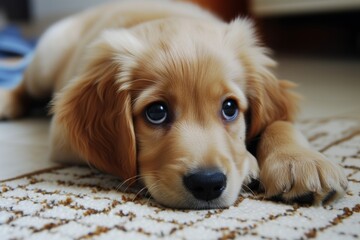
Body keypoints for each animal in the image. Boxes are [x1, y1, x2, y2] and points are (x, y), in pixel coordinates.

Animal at [0, 0, 348, 208]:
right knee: (25, 85)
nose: (208, 184)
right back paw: (6, 101)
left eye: (230, 108)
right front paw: (250, 163)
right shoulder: (61, 136)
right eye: (156, 112)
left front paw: (300, 161)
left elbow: (279, 121)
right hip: (47, 62)